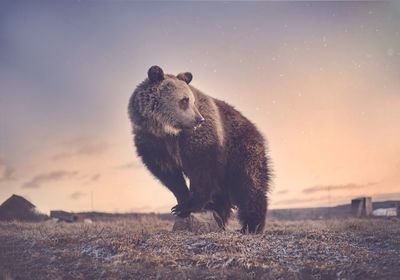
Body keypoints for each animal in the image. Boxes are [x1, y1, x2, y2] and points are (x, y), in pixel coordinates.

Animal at [128, 65, 272, 232]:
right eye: (184, 100)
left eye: (193, 100)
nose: (199, 119)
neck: (168, 131)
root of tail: (255, 129)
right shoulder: (152, 142)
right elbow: (168, 174)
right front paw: (180, 203)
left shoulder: (201, 138)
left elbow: (202, 169)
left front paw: (189, 205)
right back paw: (218, 212)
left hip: (241, 148)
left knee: (249, 183)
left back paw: (251, 225)